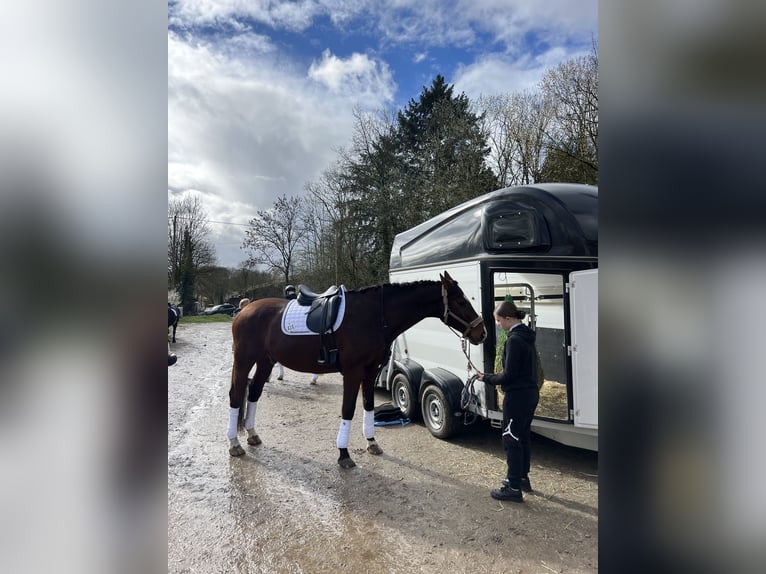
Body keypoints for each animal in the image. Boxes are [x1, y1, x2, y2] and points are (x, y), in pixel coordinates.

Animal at [225, 272, 486, 468]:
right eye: (461, 301)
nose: (481, 332)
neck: (371, 315)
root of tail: (244, 311)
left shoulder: (370, 372)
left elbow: (368, 405)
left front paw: (372, 443)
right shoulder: (352, 372)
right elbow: (348, 409)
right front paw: (344, 454)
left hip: (265, 361)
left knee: (254, 392)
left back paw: (252, 434)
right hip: (244, 360)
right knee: (237, 395)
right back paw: (234, 444)